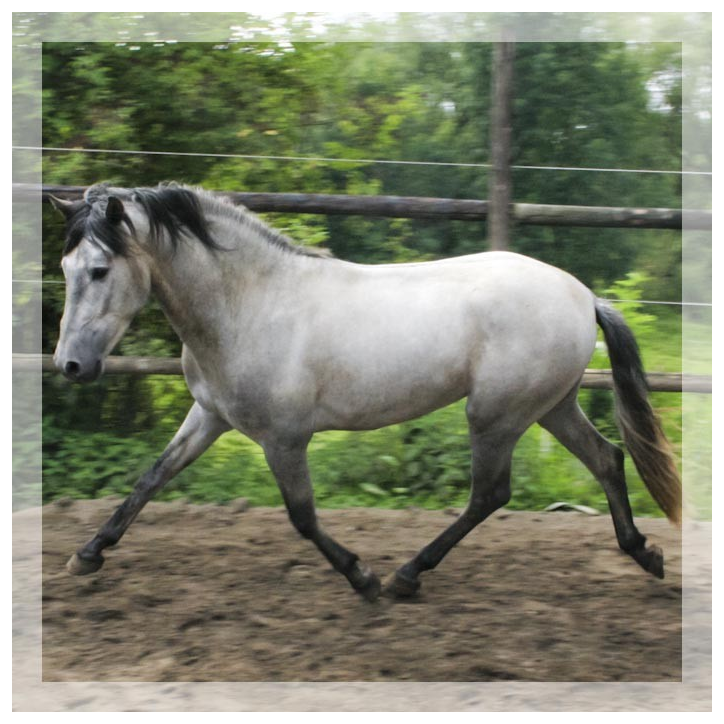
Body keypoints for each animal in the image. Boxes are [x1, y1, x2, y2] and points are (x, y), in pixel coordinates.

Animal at [49, 182, 681, 601]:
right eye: (65, 266)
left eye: (100, 270)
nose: (70, 365)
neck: (250, 305)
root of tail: (583, 295)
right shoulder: (209, 416)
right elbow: (151, 478)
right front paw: (86, 555)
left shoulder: (284, 438)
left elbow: (303, 516)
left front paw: (364, 577)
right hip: (551, 406)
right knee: (607, 458)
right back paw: (644, 553)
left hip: (496, 414)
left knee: (490, 494)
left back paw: (405, 575)